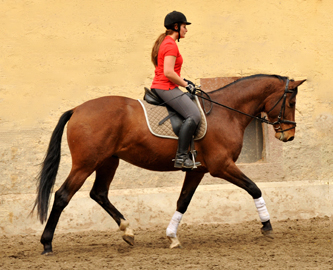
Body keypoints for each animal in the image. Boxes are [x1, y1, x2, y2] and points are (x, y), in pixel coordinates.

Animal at [32, 73, 304, 253]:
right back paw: (47, 243)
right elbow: (254, 187)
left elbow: (183, 201)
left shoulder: (198, 170)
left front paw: (172, 236)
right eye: (290, 103)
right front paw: (267, 225)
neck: (227, 112)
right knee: (62, 195)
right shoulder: (221, 166)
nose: (288, 135)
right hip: (86, 164)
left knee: (99, 193)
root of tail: (77, 109)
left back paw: (127, 231)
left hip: (108, 161)